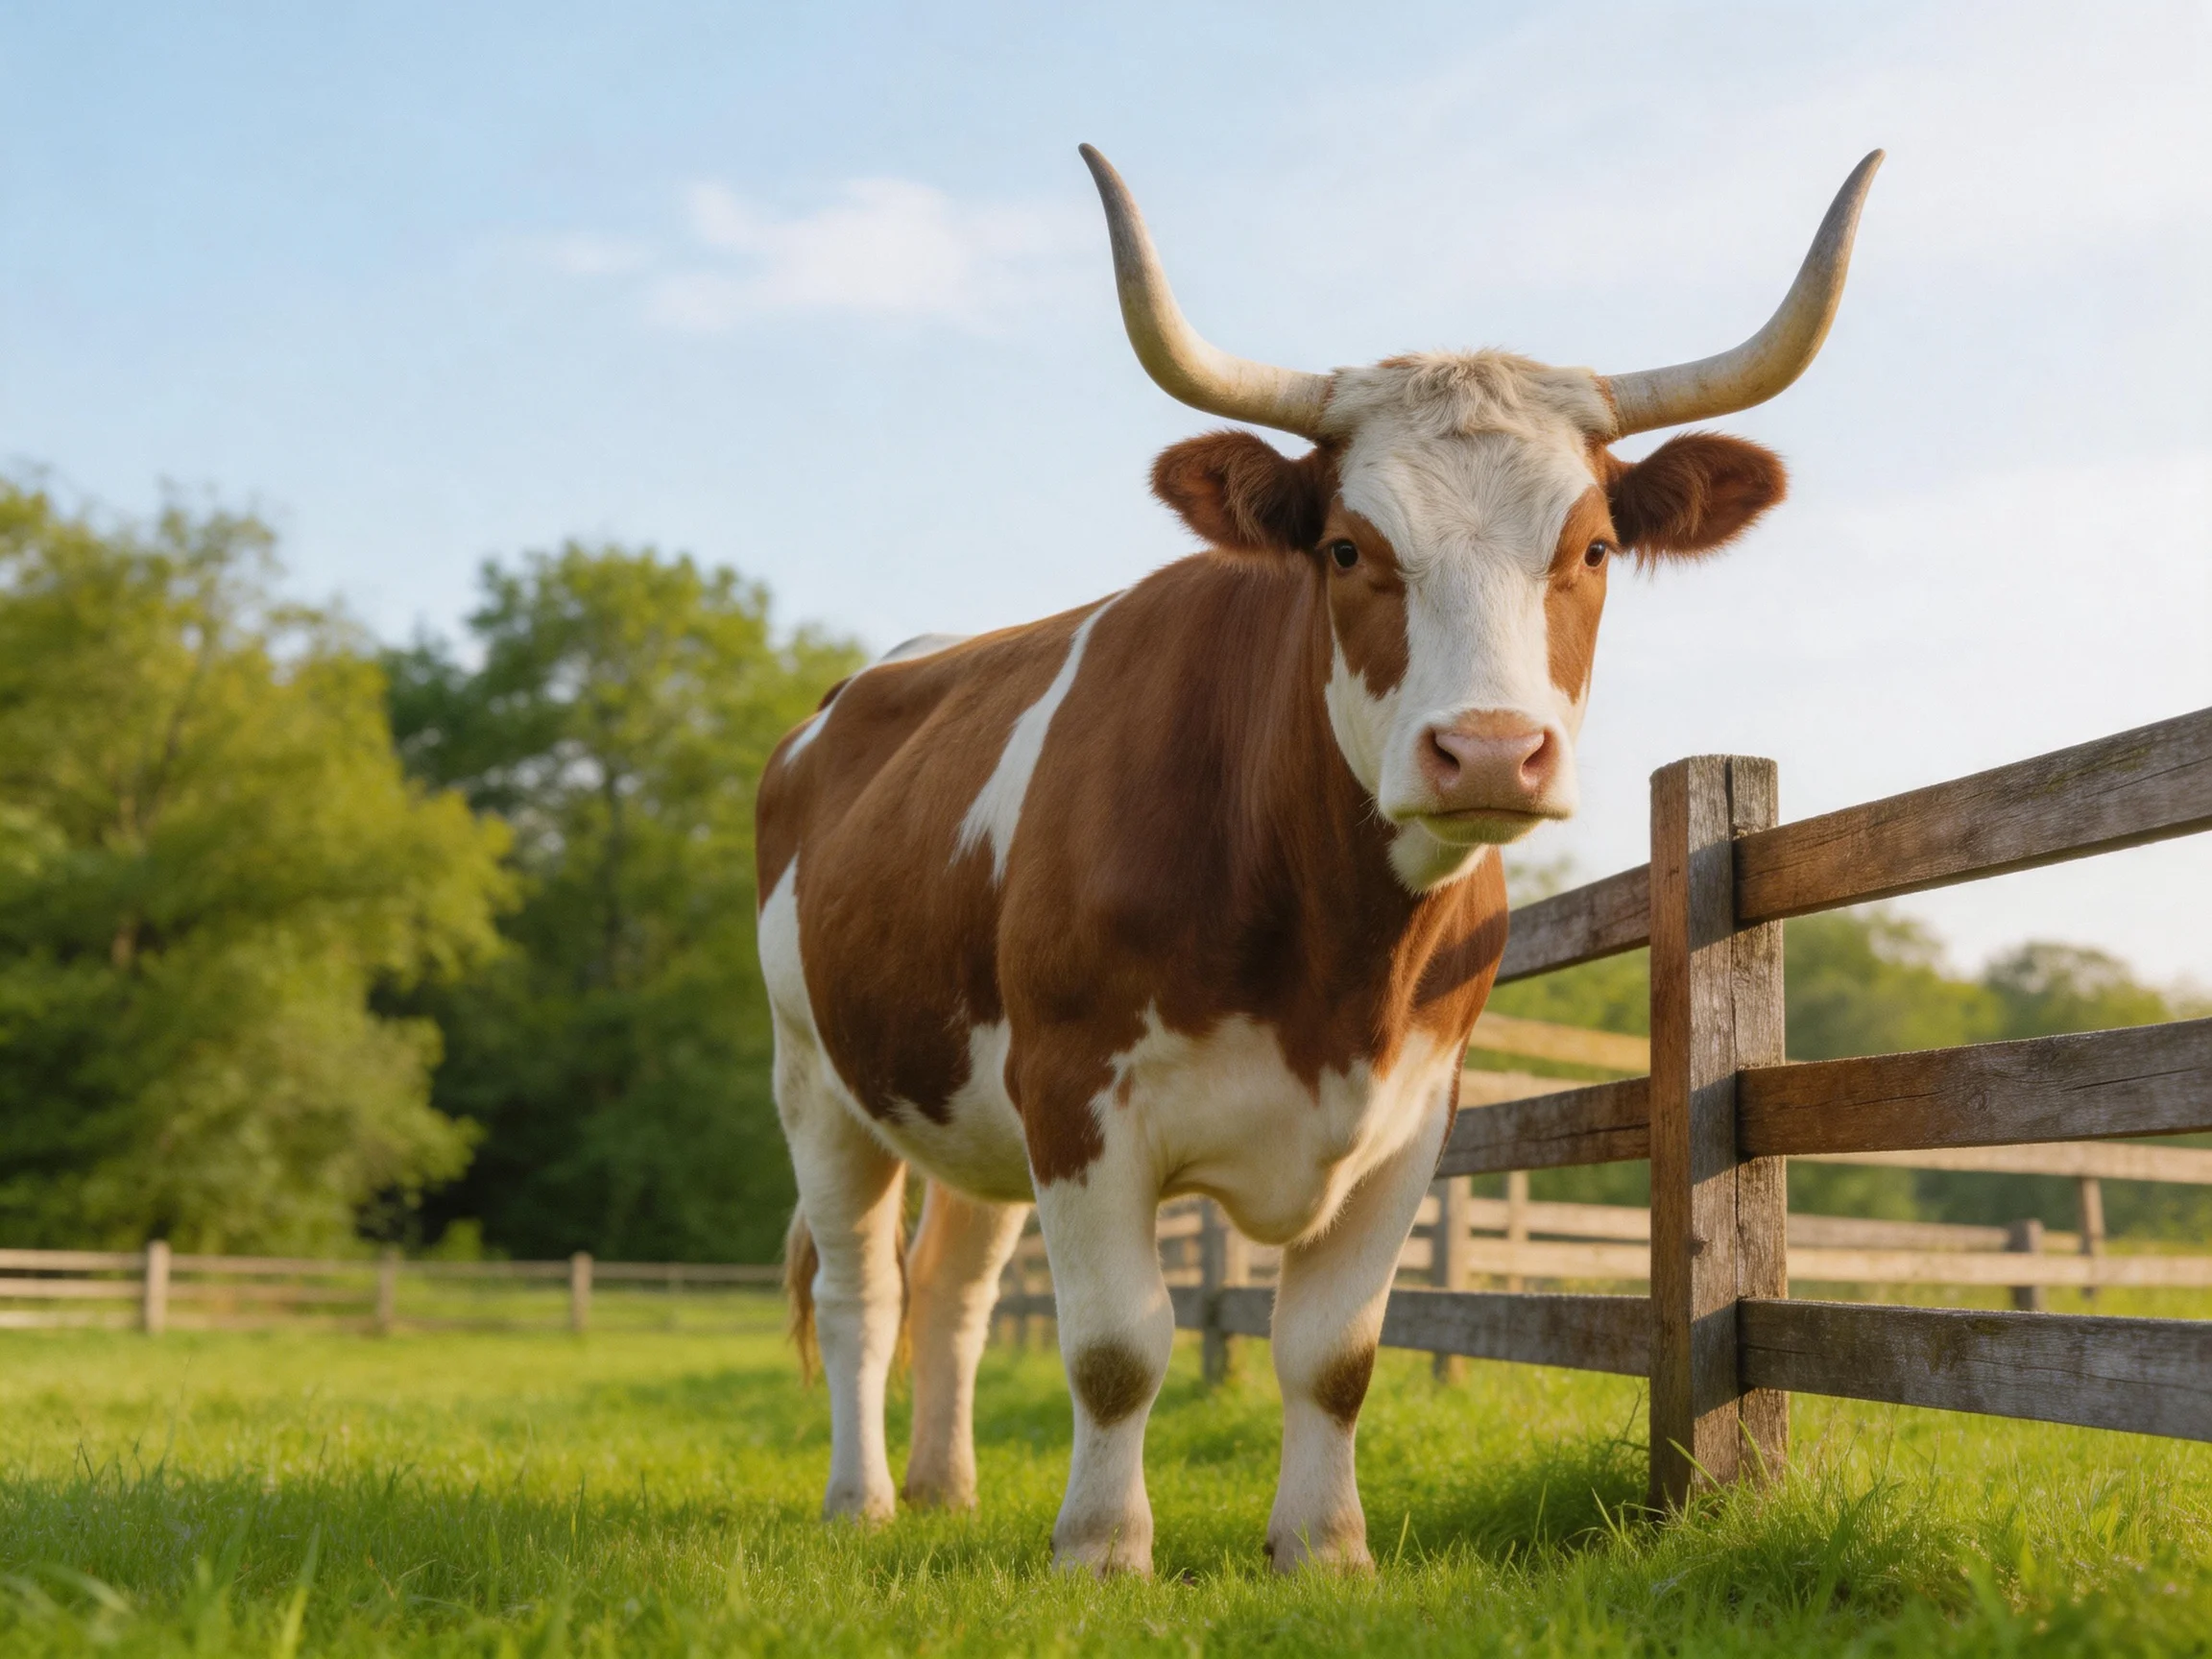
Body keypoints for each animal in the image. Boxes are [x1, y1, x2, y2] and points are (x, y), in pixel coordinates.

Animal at [758, 145, 1880, 1575]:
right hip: (818, 1080)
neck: (1329, 960)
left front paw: (1324, 1548)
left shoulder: (1412, 1118)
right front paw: (1103, 1549)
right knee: (864, 1294)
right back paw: (861, 1500)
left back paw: (947, 1490)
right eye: (1350, 548)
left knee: (953, 1289)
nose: (1491, 752)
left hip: (968, 1104)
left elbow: (1332, 1355)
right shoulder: (1077, 1096)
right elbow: (1117, 1348)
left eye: (1592, 548)